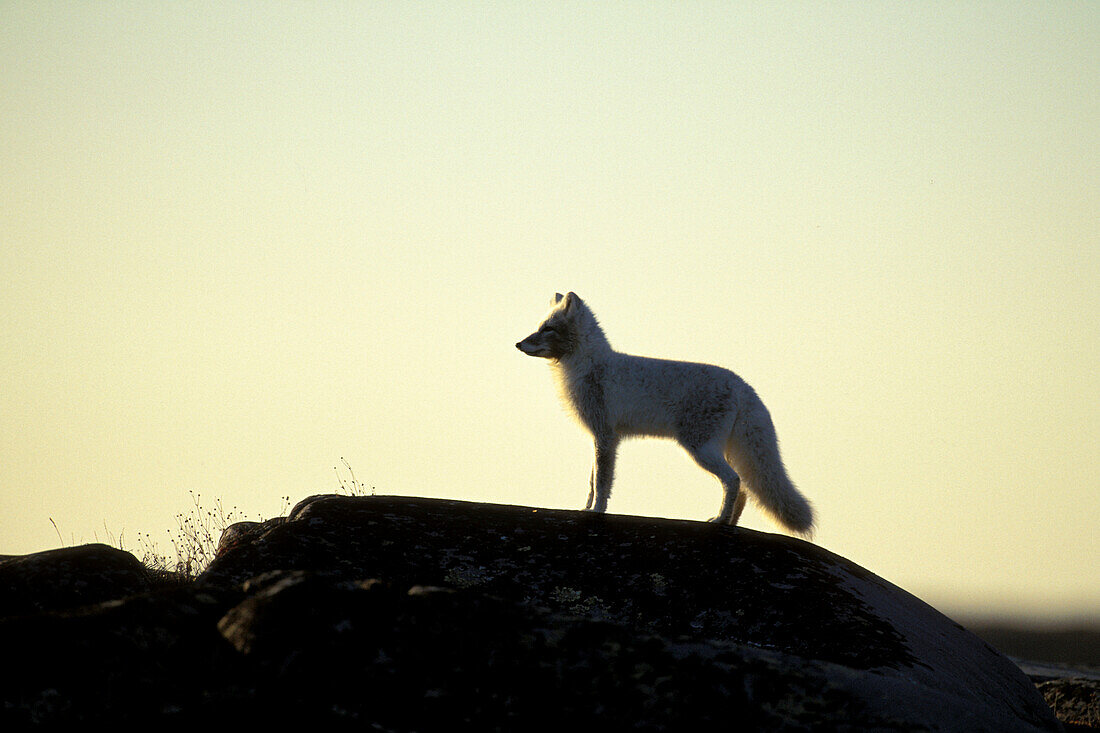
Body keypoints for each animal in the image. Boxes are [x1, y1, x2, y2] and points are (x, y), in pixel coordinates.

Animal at [512, 290, 809, 537]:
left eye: (548, 329)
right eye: (539, 327)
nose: (517, 344)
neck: (589, 366)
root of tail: (743, 385)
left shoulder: (606, 437)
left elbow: (602, 483)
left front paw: (596, 512)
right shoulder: (599, 437)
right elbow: (592, 481)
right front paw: (585, 509)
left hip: (699, 449)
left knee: (734, 481)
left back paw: (720, 521)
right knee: (744, 489)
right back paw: (728, 524)